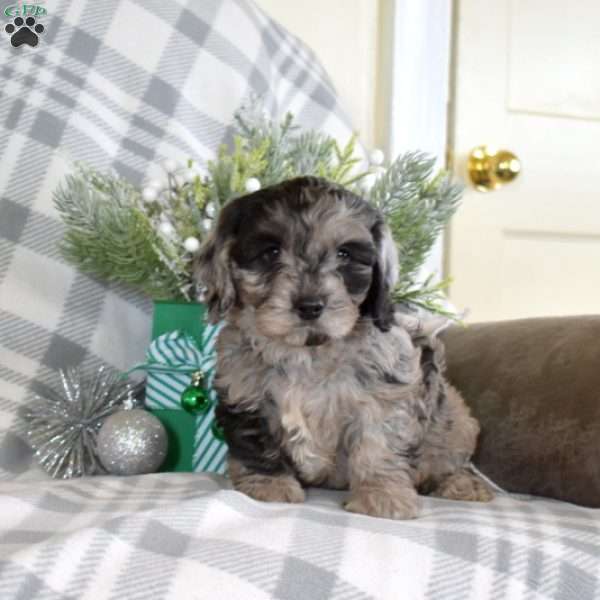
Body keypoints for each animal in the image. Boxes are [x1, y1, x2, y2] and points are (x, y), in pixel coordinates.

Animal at [197, 176, 492, 516]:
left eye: (344, 254)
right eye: (270, 252)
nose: (310, 306)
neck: (306, 351)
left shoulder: (383, 394)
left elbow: (377, 444)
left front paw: (380, 495)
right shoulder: (245, 395)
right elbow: (257, 444)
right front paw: (269, 486)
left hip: (454, 420)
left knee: (448, 458)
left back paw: (462, 484)